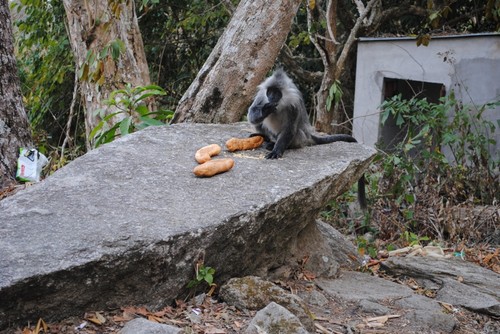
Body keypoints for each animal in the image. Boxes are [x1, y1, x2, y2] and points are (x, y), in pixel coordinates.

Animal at [247, 68, 368, 209]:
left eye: (276, 93)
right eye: (269, 92)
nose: (271, 98)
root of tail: (308, 135)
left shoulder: (294, 103)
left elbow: (290, 129)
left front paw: (276, 151)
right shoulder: (262, 96)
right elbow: (252, 114)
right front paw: (265, 110)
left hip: (300, 137)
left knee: (294, 133)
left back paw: (276, 144)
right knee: (260, 122)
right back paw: (266, 138)